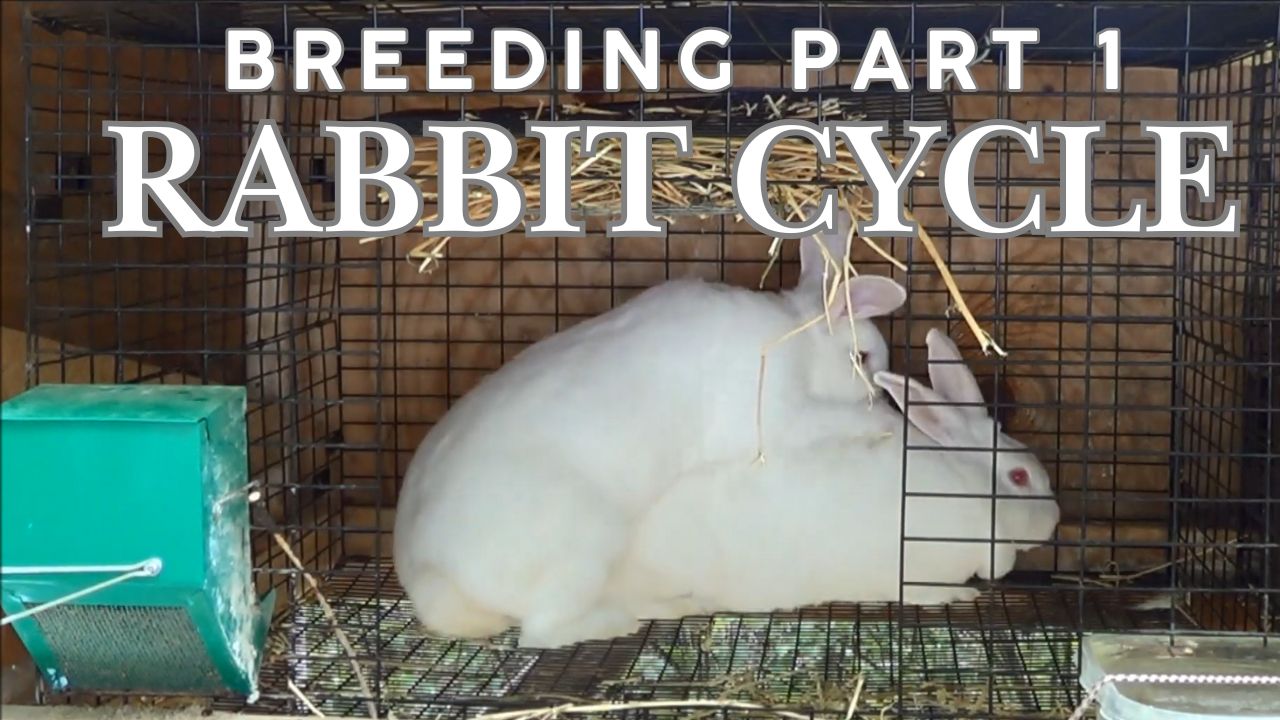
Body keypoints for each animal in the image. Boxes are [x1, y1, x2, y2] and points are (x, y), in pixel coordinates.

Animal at [393, 207, 908, 648]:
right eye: (862, 358)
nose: (884, 394)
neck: (796, 337)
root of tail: (429, 573)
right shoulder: (779, 419)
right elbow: (832, 420)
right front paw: (885, 421)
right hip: (584, 549)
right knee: (543, 632)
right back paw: (620, 623)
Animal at [609, 328, 1061, 624]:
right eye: (1019, 478)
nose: (1056, 519)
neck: (972, 489)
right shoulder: (914, 572)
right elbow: (922, 594)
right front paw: (961, 594)